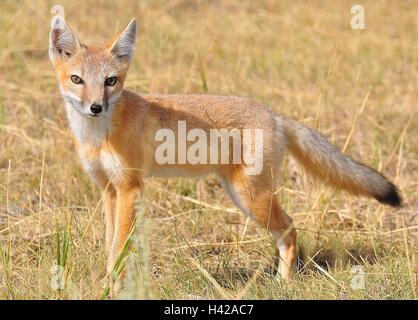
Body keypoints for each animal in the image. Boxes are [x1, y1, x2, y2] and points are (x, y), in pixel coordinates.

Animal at [48, 16, 402, 288]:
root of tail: (273, 114)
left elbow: (120, 247)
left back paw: (284, 283)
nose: (95, 107)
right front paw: (105, 283)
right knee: (286, 231)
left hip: (252, 198)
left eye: (111, 81)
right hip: (241, 196)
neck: (98, 134)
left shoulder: (130, 188)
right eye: (77, 79)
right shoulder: (110, 190)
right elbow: (111, 246)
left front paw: (115, 286)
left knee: (290, 229)